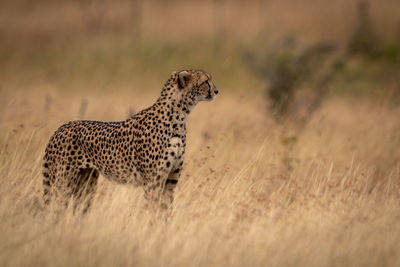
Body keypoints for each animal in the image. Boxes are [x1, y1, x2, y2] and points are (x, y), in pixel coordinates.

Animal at [42, 69, 219, 211]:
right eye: (205, 81)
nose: (216, 91)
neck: (179, 117)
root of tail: (60, 128)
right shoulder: (152, 182)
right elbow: (154, 210)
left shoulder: (170, 180)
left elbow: (166, 211)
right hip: (62, 184)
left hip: (86, 184)